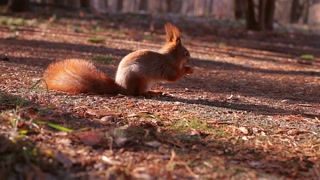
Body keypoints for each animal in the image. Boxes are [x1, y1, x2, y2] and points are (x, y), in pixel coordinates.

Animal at [42, 23, 192, 95]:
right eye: (186, 54)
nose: (190, 59)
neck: (171, 57)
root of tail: (122, 87)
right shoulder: (169, 68)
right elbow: (173, 77)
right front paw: (188, 69)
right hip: (140, 78)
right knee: (137, 93)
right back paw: (150, 94)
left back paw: (154, 91)